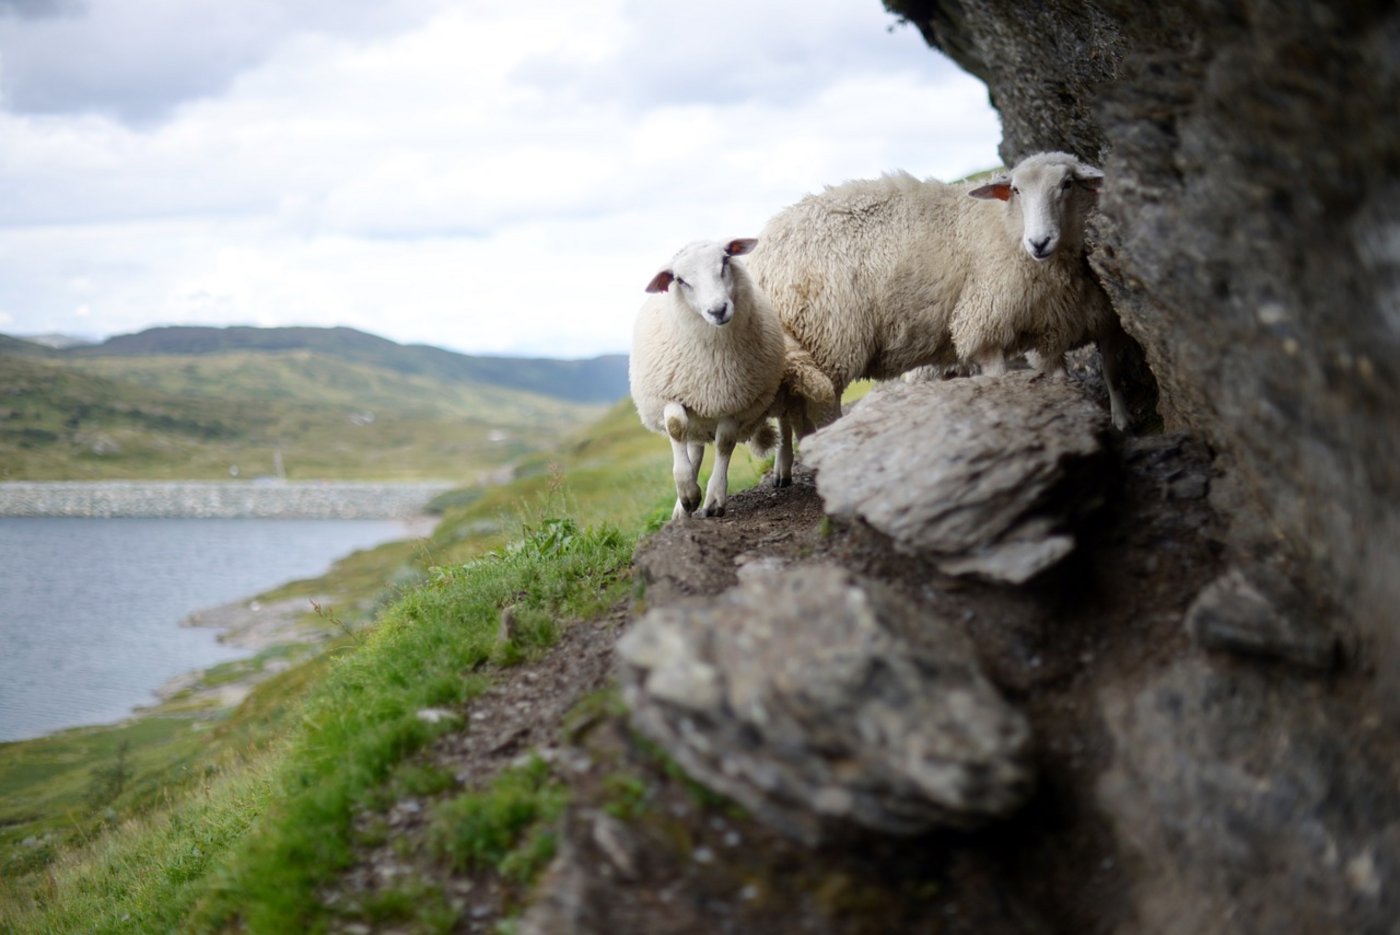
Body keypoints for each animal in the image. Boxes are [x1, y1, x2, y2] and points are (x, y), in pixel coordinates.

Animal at [629, 238, 788, 519]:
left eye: (725, 260)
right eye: (679, 280)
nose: (718, 310)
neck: (713, 361)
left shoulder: (735, 402)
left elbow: (725, 443)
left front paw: (714, 498)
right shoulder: (671, 393)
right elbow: (676, 426)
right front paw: (687, 492)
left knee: (786, 420)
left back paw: (783, 468)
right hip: (697, 412)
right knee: (693, 445)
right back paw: (682, 507)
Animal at [746, 151, 1133, 485]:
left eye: (1067, 184)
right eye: (1016, 190)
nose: (1040, 242)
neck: (1008, 227)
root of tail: (762, 254)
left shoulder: (1065, 325)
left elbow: (1096, 376)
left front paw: (1113, 422)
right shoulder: (984, 322)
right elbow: (999, 381)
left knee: (791, 410)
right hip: (828, 340)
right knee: (815, 414)